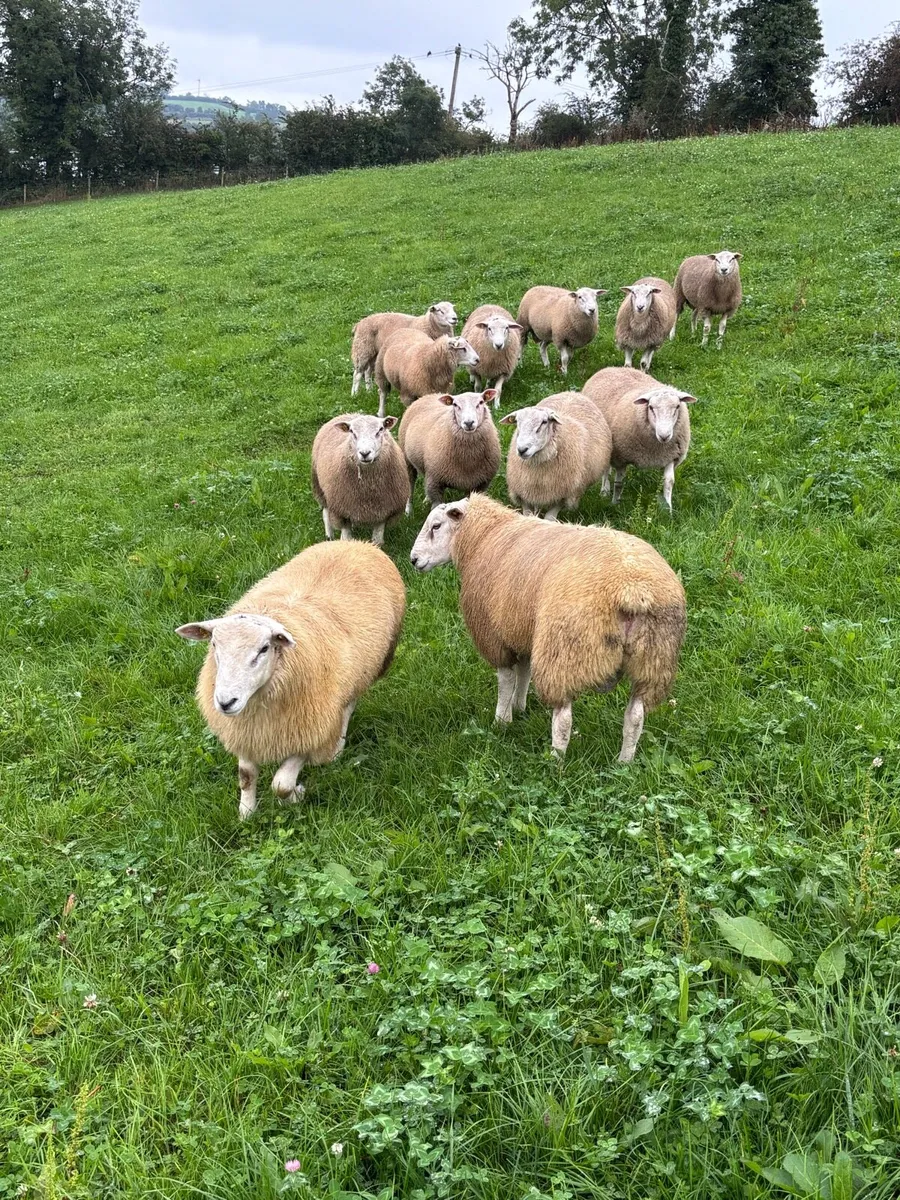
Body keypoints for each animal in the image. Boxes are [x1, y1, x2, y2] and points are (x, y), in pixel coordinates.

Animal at [176, 541, 406, 820]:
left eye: (264, 649)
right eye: (213, 645)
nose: (225, 702)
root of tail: (358, 544)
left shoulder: (308, 733)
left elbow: (281, 784)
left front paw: (297, 794)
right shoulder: (245, 730)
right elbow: (246, 776)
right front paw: (246, 813)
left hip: (363, 674)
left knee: (347, 706)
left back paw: (337, 748)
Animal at [311, 413, 410, 547]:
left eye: (380, 429)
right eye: (352, 432)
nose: (365, 453)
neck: (368, 488)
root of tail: (350, 413)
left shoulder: (383, 511)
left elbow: (377, 541)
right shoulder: (342, 511)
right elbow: (346, 538)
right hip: (320, 487)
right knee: (326, 513)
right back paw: (329, 536)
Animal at [410, 494, 685, 762]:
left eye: (436, 526)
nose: (413, 560)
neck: (484, 536)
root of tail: (632, 590)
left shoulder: (495, 635)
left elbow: (506, 679)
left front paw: (502, 721)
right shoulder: (521, 628)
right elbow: (524, 672)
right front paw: (519, 707)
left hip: (565, 652)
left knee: (563, 718)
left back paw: (555, 762)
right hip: (653, 660)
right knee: (635, 715)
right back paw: (624, 763)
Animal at [500, 392, 612, 521]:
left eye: (544, 422)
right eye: (517, 422)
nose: (522, 450)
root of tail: (572, 393)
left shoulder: (562, 496)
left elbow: (549, 518)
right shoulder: (523, 493)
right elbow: (528, 515)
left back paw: (605, 492)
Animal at [582, 366, 696, 512]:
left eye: (677, 407)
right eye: (651, 407)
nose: (664, 436)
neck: (655, 450)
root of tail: (612, 367)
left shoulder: (671, 456)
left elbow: (668, 483)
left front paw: (668, 509)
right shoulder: (620, 458)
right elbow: (619, 484)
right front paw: (615, 503)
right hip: (604, 443)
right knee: (606, 468)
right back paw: (604, 491)